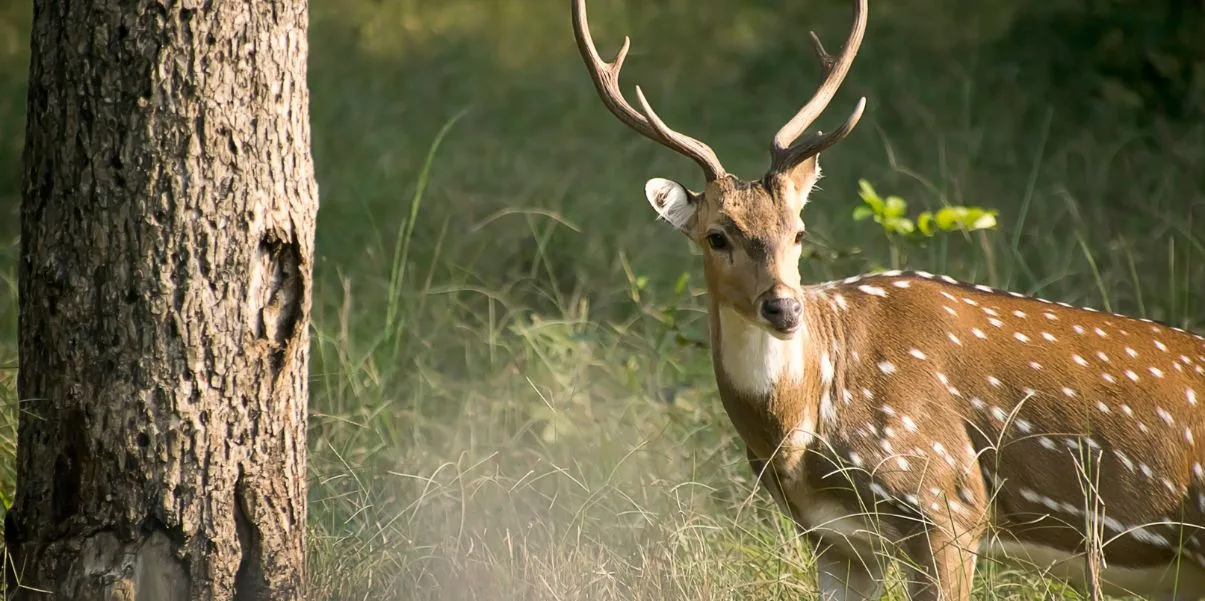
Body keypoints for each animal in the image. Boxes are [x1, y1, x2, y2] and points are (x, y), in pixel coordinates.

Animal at [571, 0, 1205, 599]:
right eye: (716, 236)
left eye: (799, 231)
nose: (784, 308)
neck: (808, 423)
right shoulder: (836, 540)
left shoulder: (948, 500)